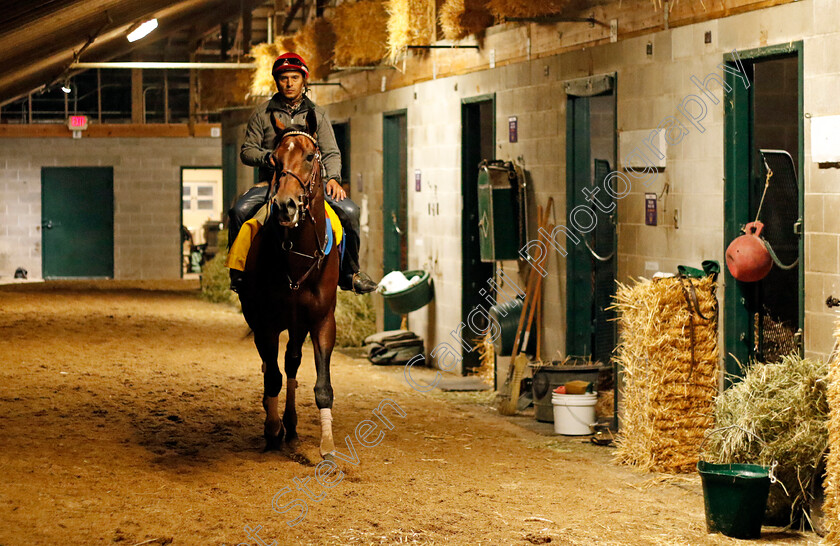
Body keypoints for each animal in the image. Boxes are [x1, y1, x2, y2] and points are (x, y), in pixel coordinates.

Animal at [235, 108, 340, 456]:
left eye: (309, 156)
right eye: (275, 158)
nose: (285, 205)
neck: (297, 254)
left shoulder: (322, 321)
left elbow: (322, 386)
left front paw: (326, 445)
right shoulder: (265, 323)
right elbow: (272, 377)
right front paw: (271, 429)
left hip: (297, 326)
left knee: (292, 364)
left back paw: (292, 428)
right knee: (274, 368)